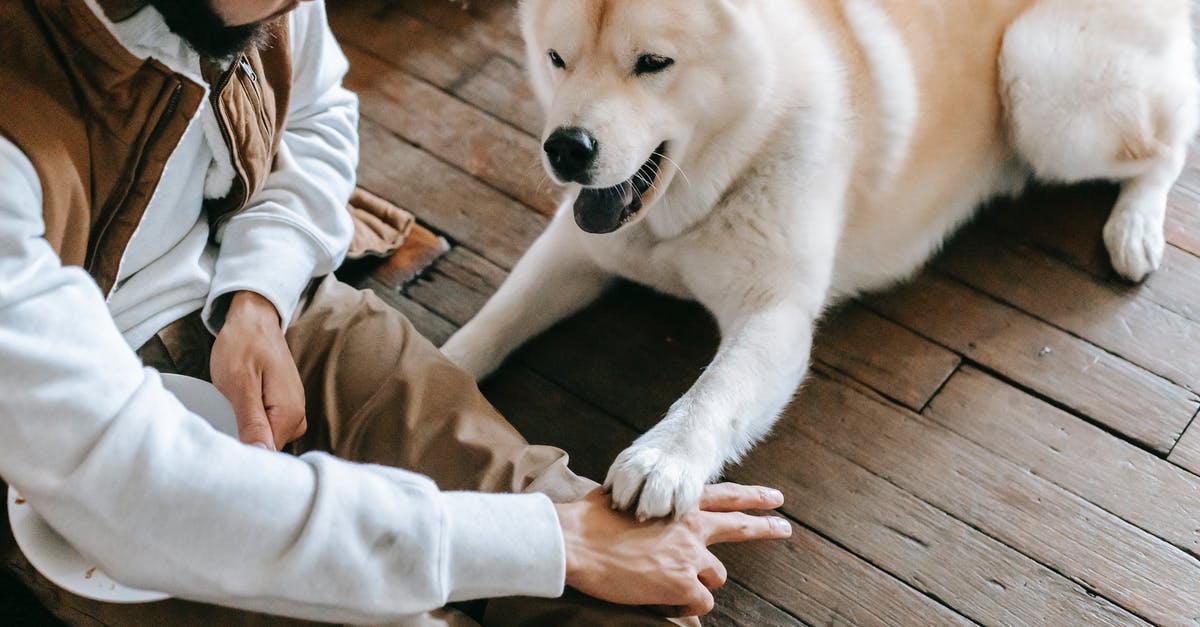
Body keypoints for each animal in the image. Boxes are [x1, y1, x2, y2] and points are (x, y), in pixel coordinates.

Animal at [444, 0, 1200, 516]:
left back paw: (1135, 227)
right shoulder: (576, 246)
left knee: (1170, 141)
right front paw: (436, 371)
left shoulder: (775, 312)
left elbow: (713, 392)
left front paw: (664, 458)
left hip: (1040, 80)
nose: (566, 148)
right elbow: (493, 322)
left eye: (653, 64)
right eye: (557, 59)